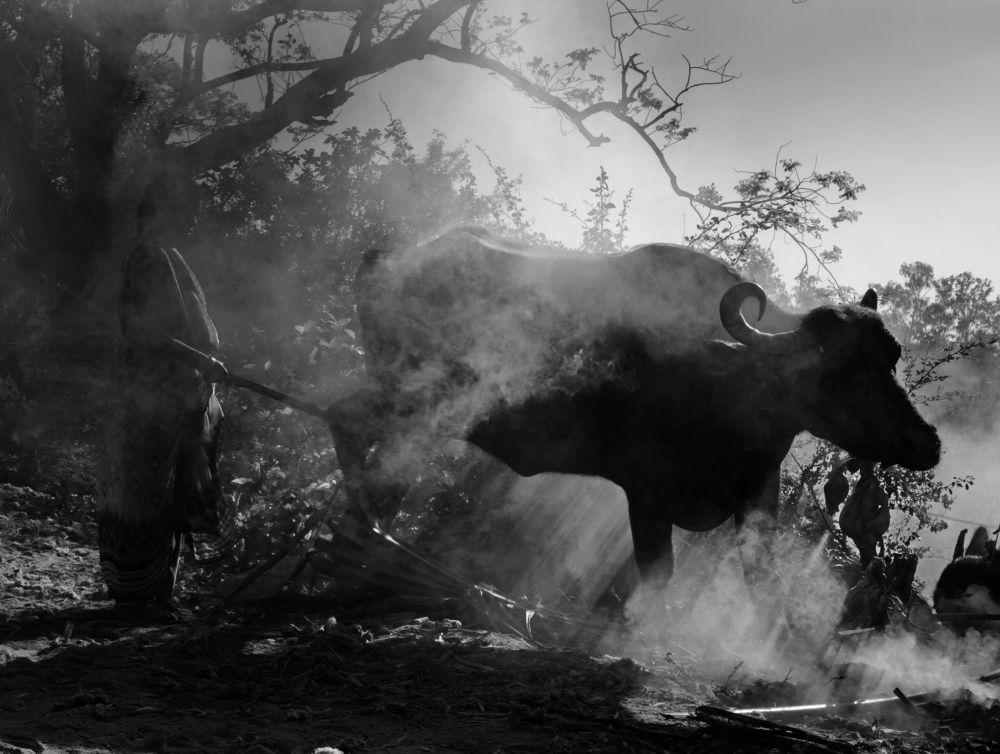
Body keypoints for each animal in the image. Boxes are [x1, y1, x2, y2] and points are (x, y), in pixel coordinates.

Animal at [328, 227, 940, 609]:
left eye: (891, 357)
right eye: (838, 371)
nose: (925, 442)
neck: (728, 378)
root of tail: (387, 261)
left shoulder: (756, 495)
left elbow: (760, 577)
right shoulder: (646, 489)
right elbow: (657, 574)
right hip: (412, 394)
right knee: (346, 420)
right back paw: (363, 537)